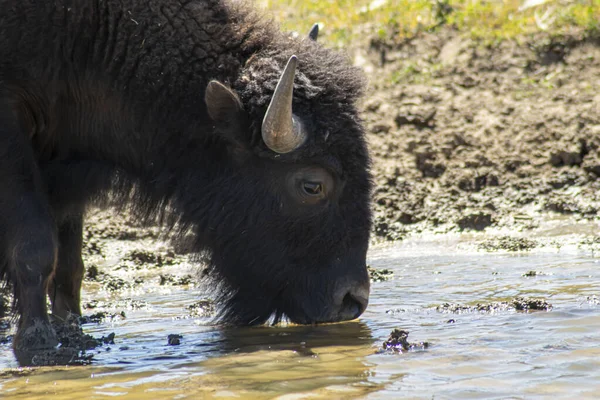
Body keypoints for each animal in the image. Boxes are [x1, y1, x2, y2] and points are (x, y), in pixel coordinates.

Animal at [0, 0, 372, 364]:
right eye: (312, 185)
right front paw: (39, 344)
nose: (352, 299)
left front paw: (72, 328)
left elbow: (69, 260)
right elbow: (37, 248)